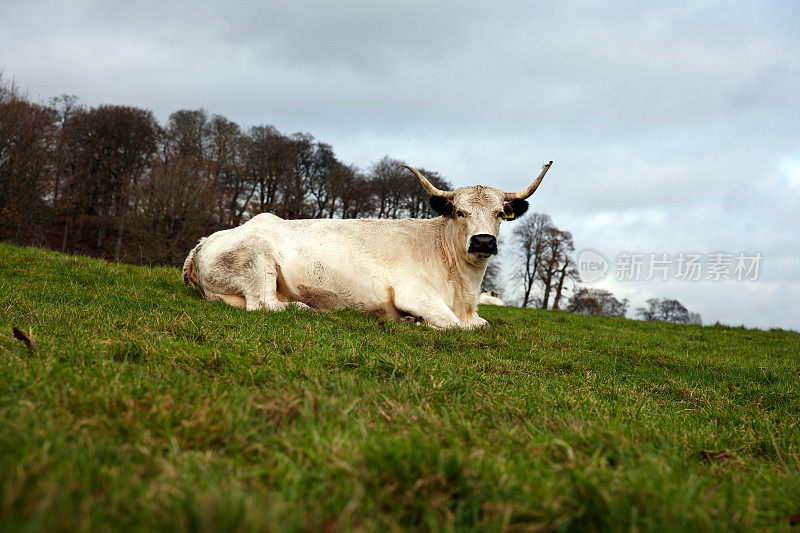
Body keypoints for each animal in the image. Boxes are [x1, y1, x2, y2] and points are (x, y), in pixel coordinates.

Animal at [180, 162, 552, 328]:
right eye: (460, 212)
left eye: (500, 214)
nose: (484, 240)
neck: (465, 291)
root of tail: (204, 242)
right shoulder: (414, 293)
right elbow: (454, 326)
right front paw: (415, 322)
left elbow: (480, 326)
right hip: (257, 263)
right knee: (264, 304)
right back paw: (304, 307)